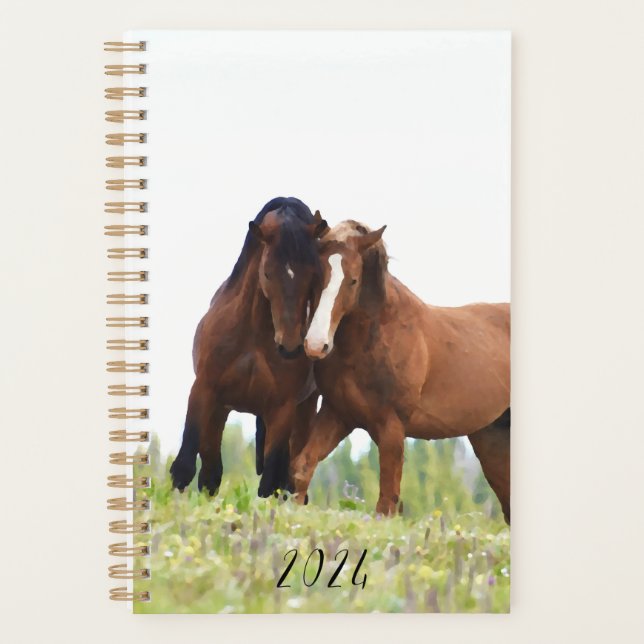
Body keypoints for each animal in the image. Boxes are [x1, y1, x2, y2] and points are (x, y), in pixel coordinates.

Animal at [170, 197, 327, 497]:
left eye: (314, 274)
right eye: (267, 272)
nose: (290, 346)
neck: (253, 336)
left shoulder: (282, 408)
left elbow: (270, 481)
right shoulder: (205, 390)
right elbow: (185, 465)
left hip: (303, 411)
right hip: (219, 410)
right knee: (210, 471)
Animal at [292, 220, 511, 522]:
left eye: (353, 280)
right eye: (317, 275)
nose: (316, 344)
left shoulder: (391, 427)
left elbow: (387, 502)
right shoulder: (338, 414)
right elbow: (302, 467)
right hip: (493, 439)